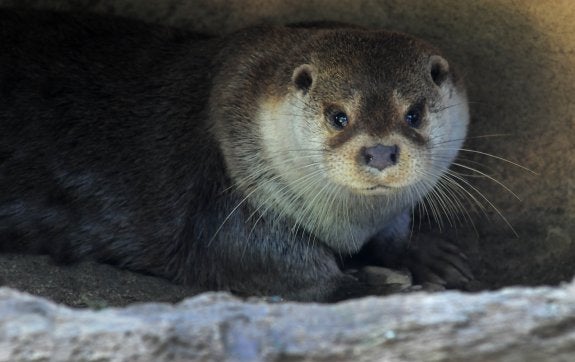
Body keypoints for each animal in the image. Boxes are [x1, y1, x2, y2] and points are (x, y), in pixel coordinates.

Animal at [0, 9, 472, 302]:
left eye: (413, 113)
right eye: (338, 116)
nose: (379, 150)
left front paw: (425, 255)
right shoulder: (228, 198)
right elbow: (276, 270)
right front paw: (381, 290)